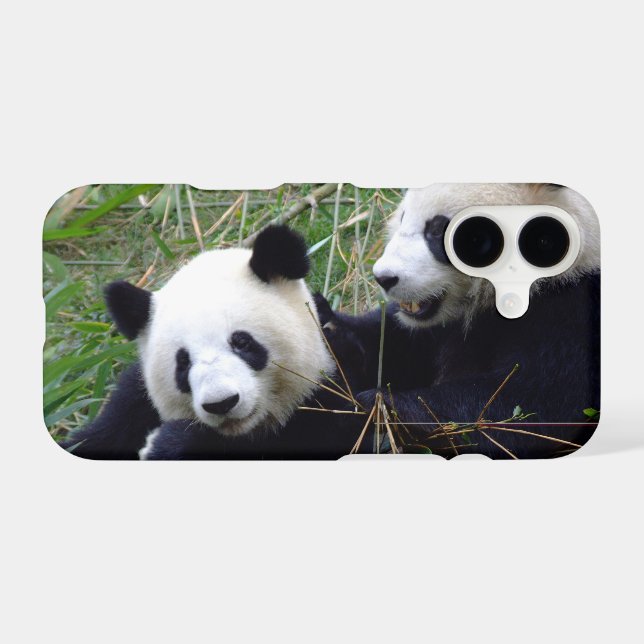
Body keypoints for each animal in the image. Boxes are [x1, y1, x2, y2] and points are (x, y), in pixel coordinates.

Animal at [316, 183, 600, 459]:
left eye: (439, 229)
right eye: (404, 216)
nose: (384, 277)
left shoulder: (570, 312)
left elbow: (529, 409)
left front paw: (382, 405)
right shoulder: (435, 329)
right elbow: (395, 348)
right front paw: (331, 330)